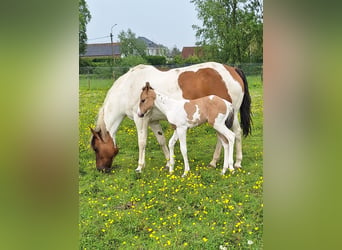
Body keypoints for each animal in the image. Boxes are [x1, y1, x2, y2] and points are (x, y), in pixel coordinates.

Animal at [90, 61, 251, 173]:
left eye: (96, 149)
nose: (101, 169)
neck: (127, 88)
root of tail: (233, 70)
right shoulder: (153, 121)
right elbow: (162, 141)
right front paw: (169, 162)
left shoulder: (140, 118)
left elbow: (142, 143)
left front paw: (140, 167)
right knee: (224, 138)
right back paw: (215, 162)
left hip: (228, 117)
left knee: (235, 134)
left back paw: (236, 162)